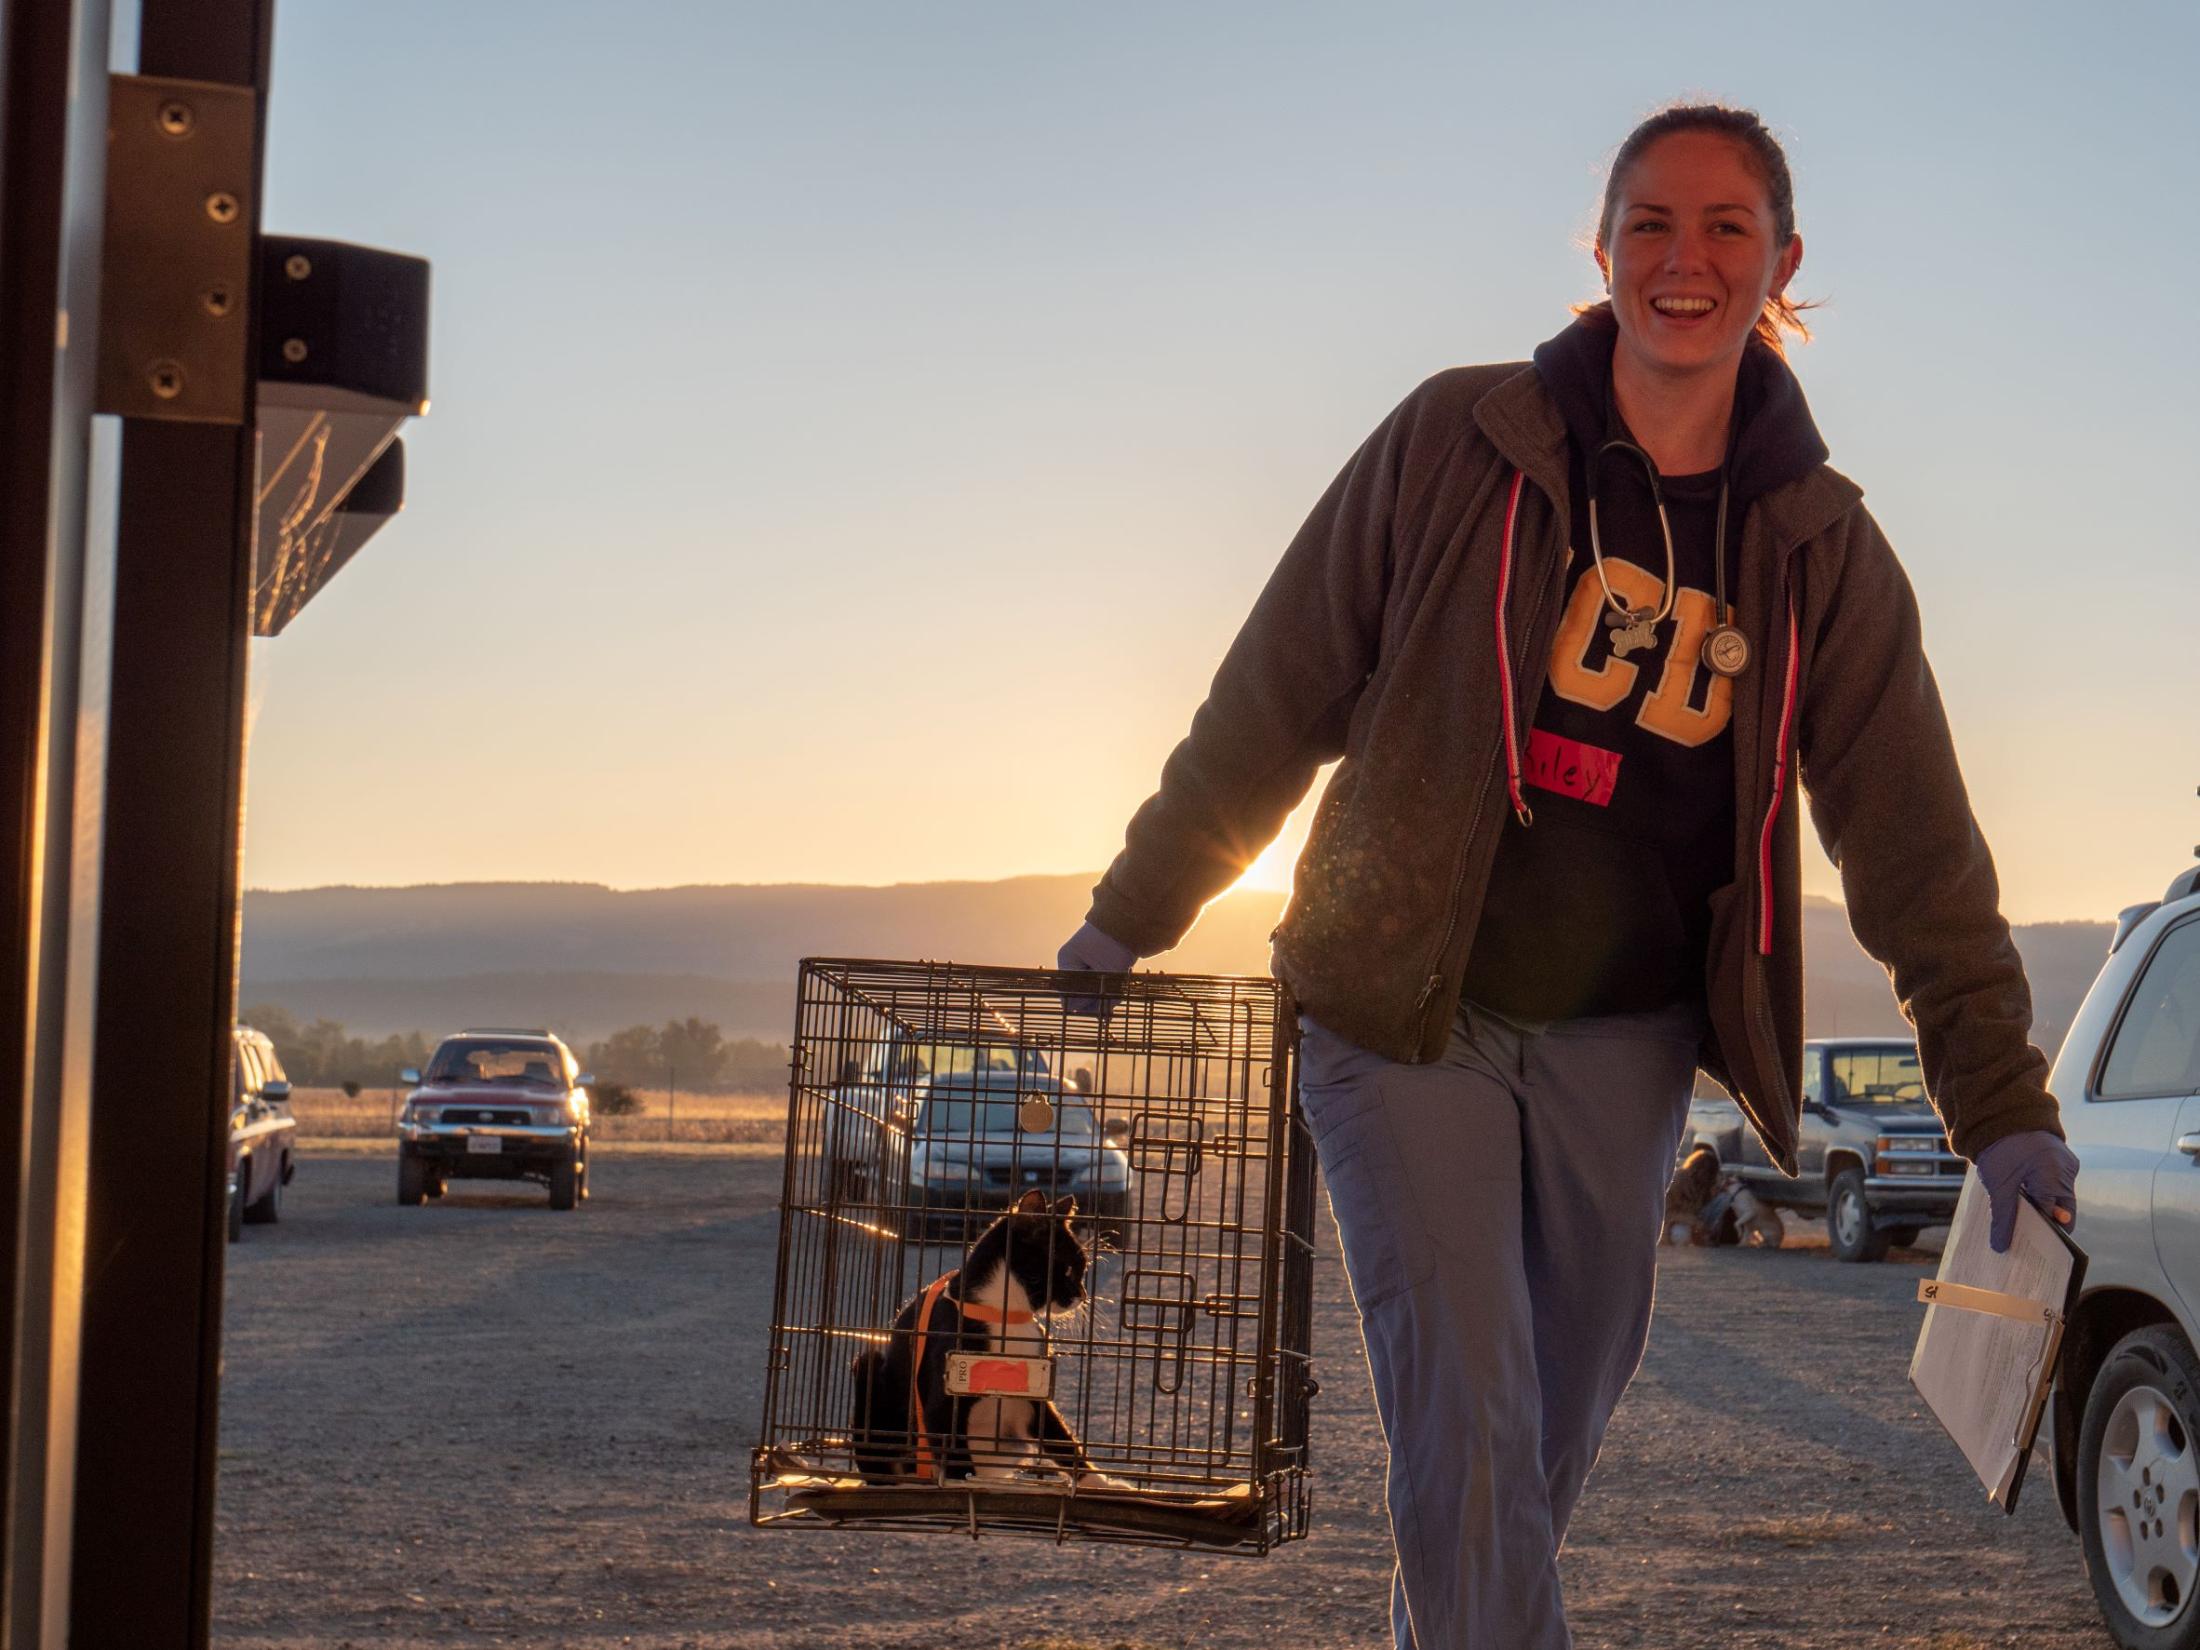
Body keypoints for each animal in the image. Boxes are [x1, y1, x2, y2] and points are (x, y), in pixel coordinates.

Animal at [844, 1196, 1117, 1496]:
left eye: (1083, 1270)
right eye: (1068, 1269)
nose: (1082, 1295)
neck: (1004, 1315)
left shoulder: (1034, 1390)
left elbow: (1061, 1439)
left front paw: (1103, 1484)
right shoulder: (941, 1402)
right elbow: (954, 1456)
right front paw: (961, 1486)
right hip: (871, 1375)